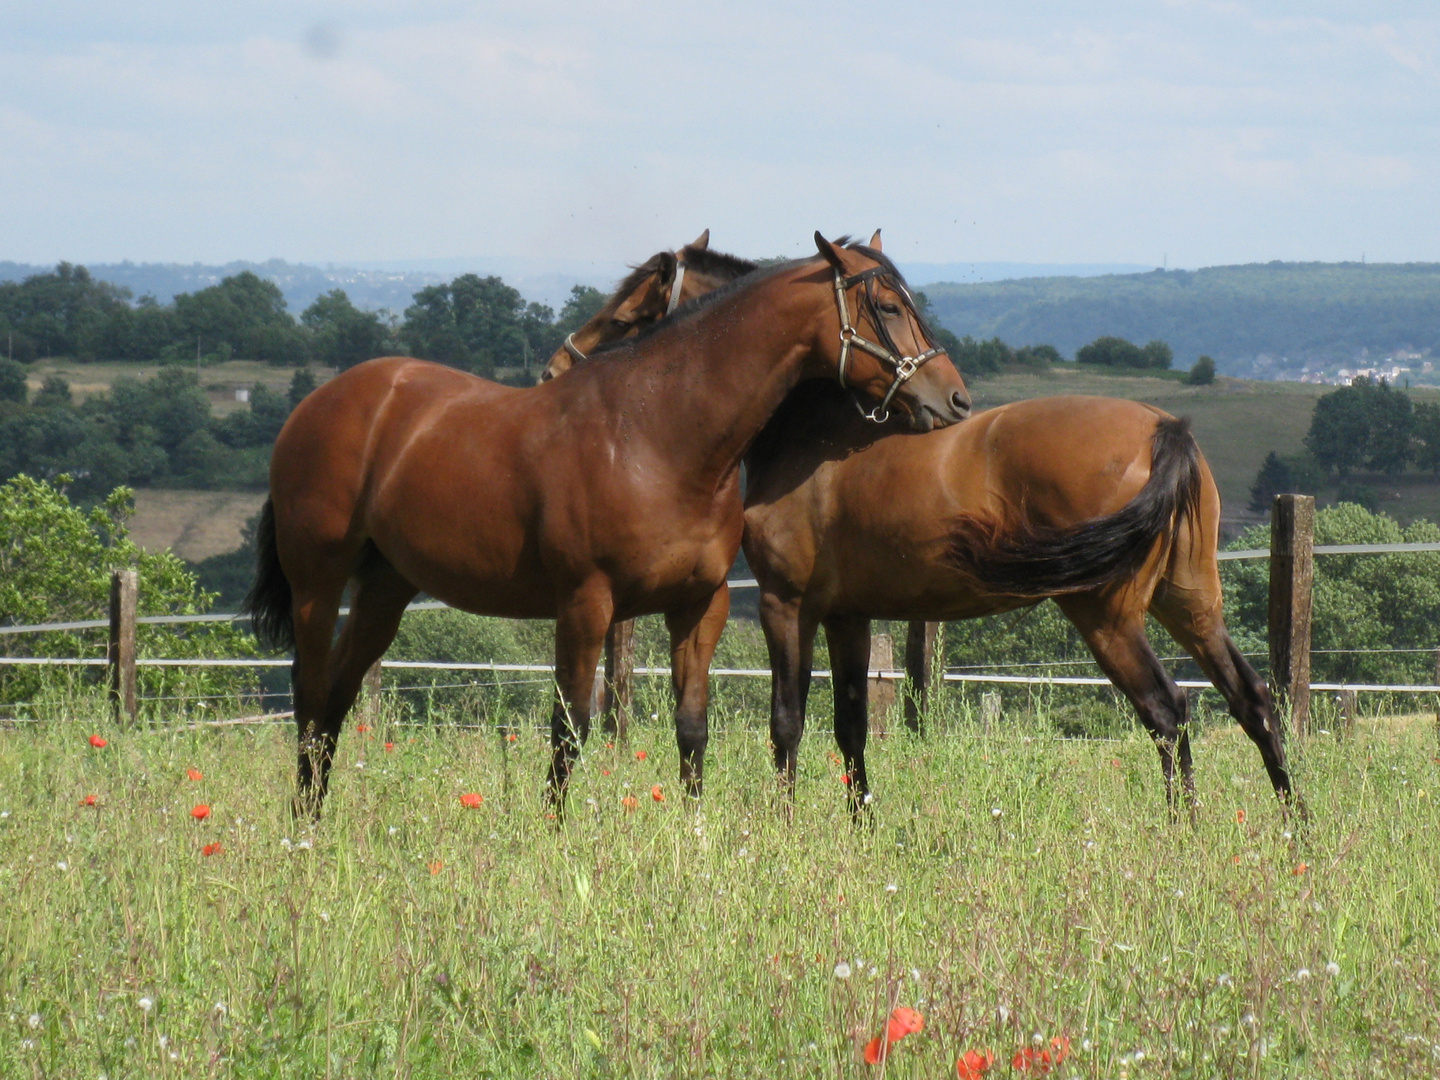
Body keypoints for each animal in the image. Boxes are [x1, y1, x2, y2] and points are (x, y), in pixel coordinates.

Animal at [244, 234, 967, 812]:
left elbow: (691, 729)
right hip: (317, 585)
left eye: (628, 313)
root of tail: (324, 401)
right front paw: (555, 841)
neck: (655, 437)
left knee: (335, 702)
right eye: (889, 308)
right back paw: (301, 833)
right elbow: (570, 732)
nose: (953, 399)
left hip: (384, 589)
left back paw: (314, 821)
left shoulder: (698, 608)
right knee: (310, 695)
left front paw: (695, 838)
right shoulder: (585, 606)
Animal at [743, 385, 1296, 817]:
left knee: (1166, 708)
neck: (810, 442)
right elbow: (850, 727)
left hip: (1108, 620)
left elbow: (787, 724)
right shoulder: (847, 617)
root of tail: (1164, 429)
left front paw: (783, 830)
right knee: (1251, 699)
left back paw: (1186, 830)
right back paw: (1296, 827)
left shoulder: (787, 607)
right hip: (1191, 607)